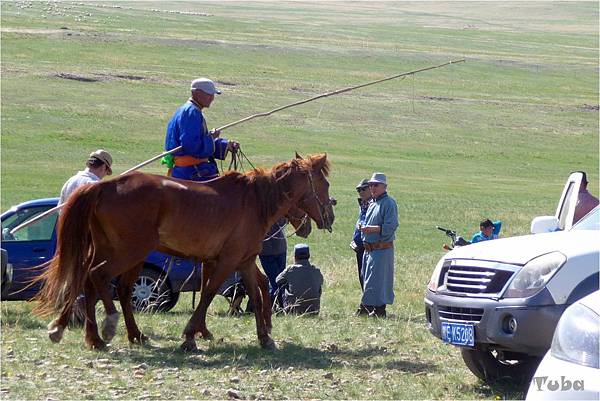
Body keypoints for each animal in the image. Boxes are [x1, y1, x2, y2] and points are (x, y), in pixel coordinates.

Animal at [34, 153, 332, 350]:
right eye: (326, 184)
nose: (329, 217)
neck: (256, 202)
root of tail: (105, 186)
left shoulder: (245, 261)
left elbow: (257, 295)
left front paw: (265, 337)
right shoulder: (227, 261)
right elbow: (209, 293)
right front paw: (191, 335)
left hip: (117, 252)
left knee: (97, 282)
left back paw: (98, 335)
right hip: (128, 252)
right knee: (98, 277)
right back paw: (107, 327)